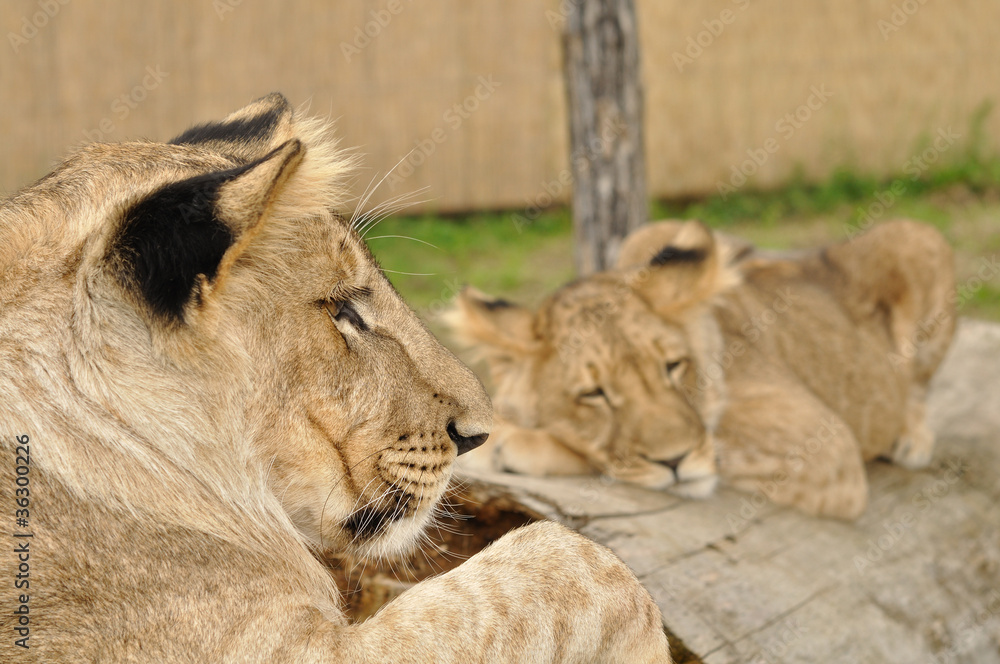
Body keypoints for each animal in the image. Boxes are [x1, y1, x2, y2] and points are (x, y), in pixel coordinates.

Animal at [450, 218, 955, 520]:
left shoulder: (827, 448)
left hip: (916, 238)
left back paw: (912, 439)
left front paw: (513, 443)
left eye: (673, 366)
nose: (675, 462)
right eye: (593, 394)